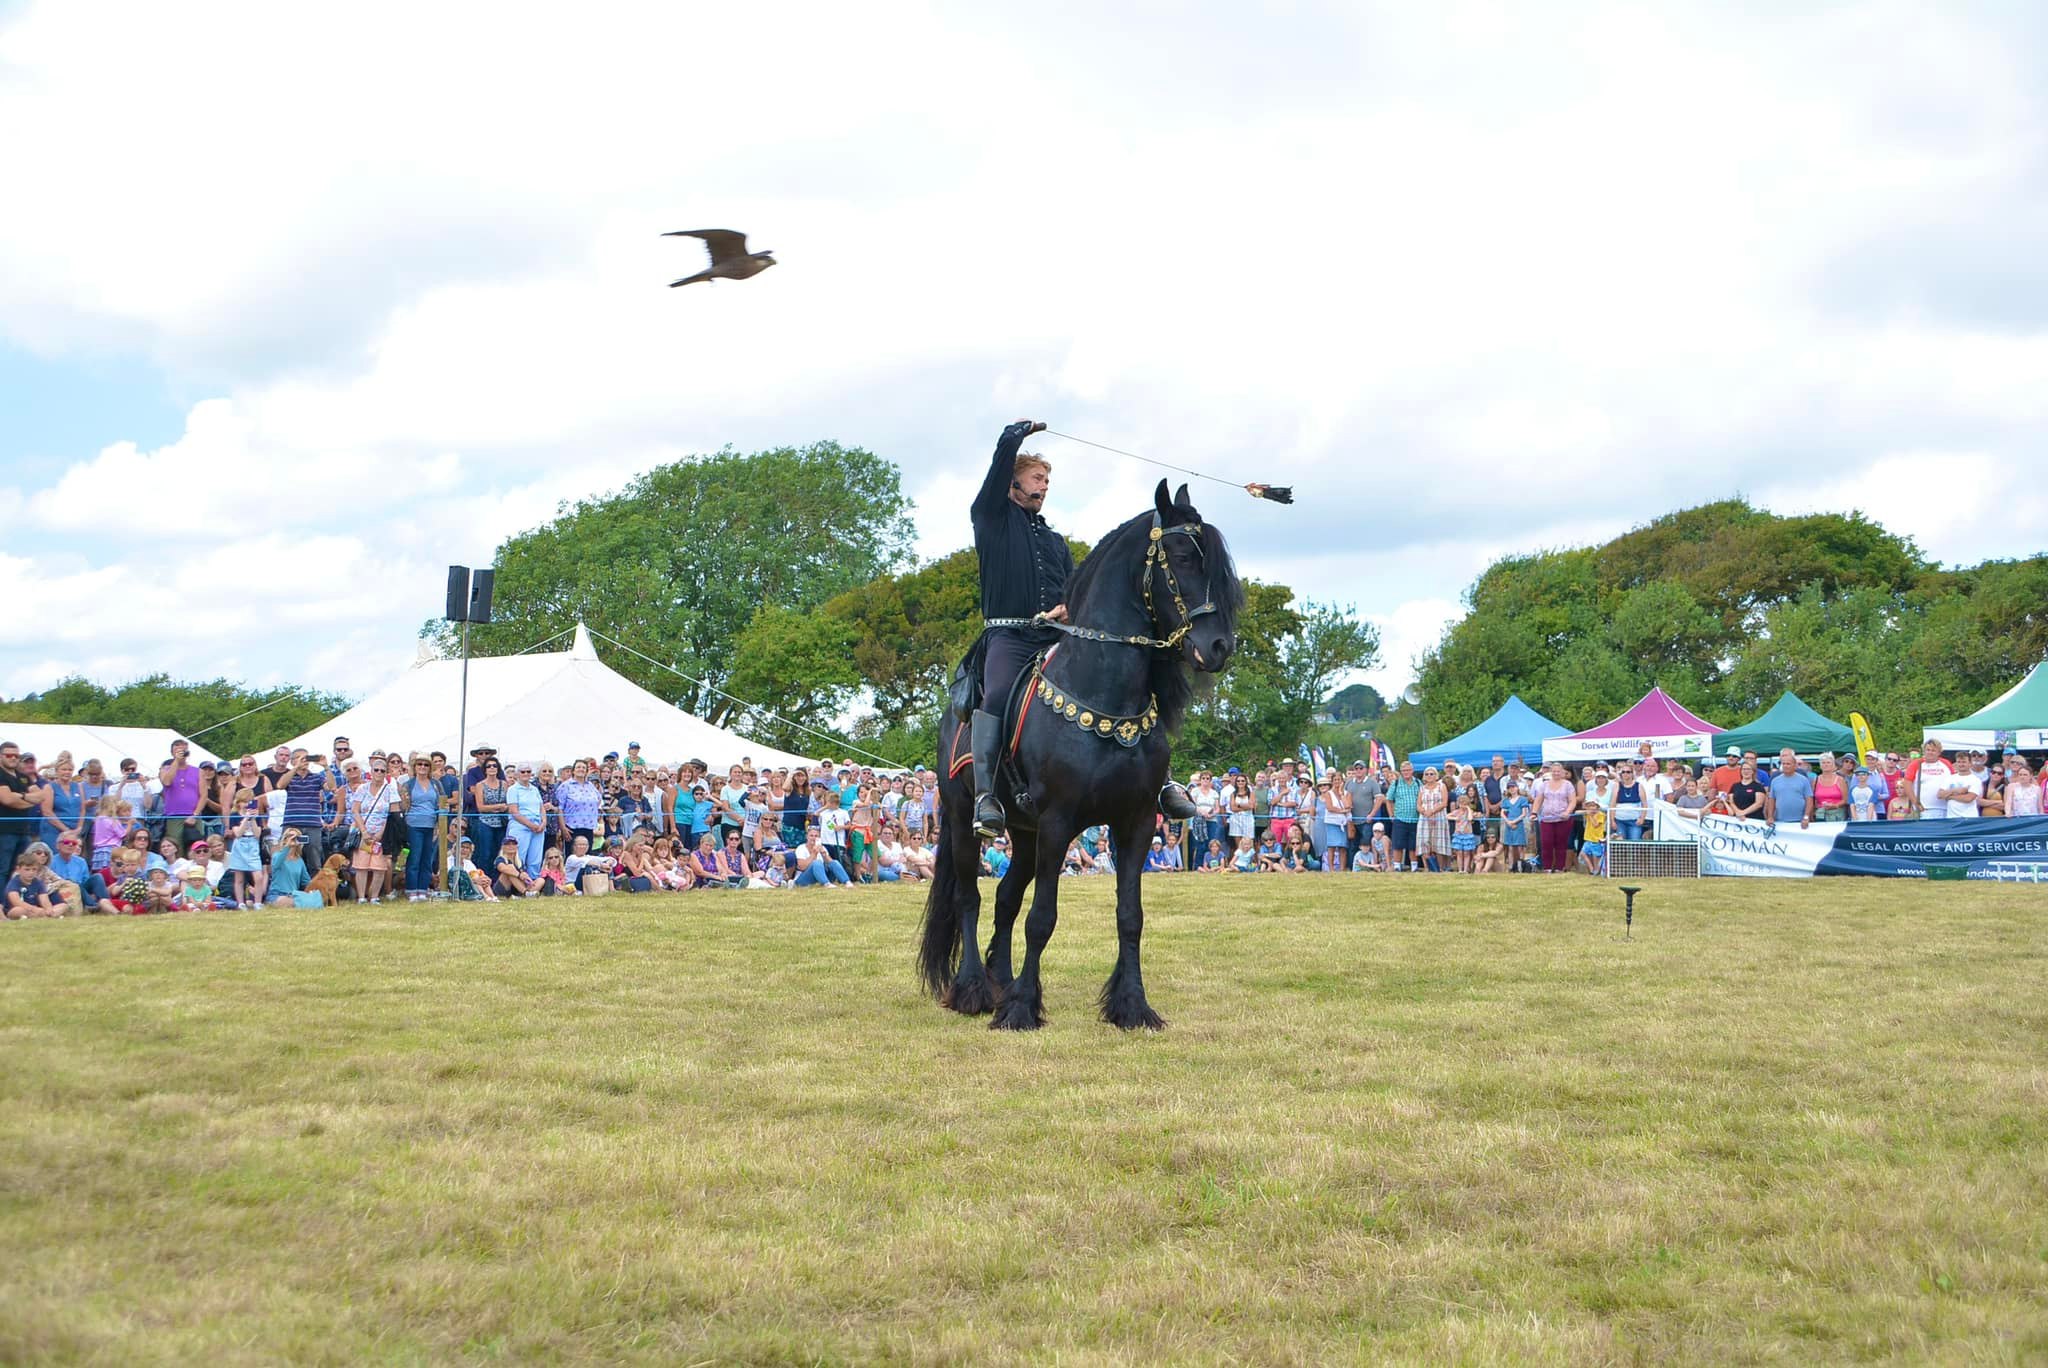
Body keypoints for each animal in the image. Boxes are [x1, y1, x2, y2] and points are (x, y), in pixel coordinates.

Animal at [921, 481, 1236, 1023]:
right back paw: (974, 990)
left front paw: (1131, 1006)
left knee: (1004, 898)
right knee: (970, 898)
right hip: (966, 820)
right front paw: (1022, 1009)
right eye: (1180, 556)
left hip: (1023, 836)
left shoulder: (1135, 822)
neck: (1103, 694)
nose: (1218, 646)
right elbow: (1042, 918)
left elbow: (1130, 916)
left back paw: (1000, 980)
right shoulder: (1057, 822)